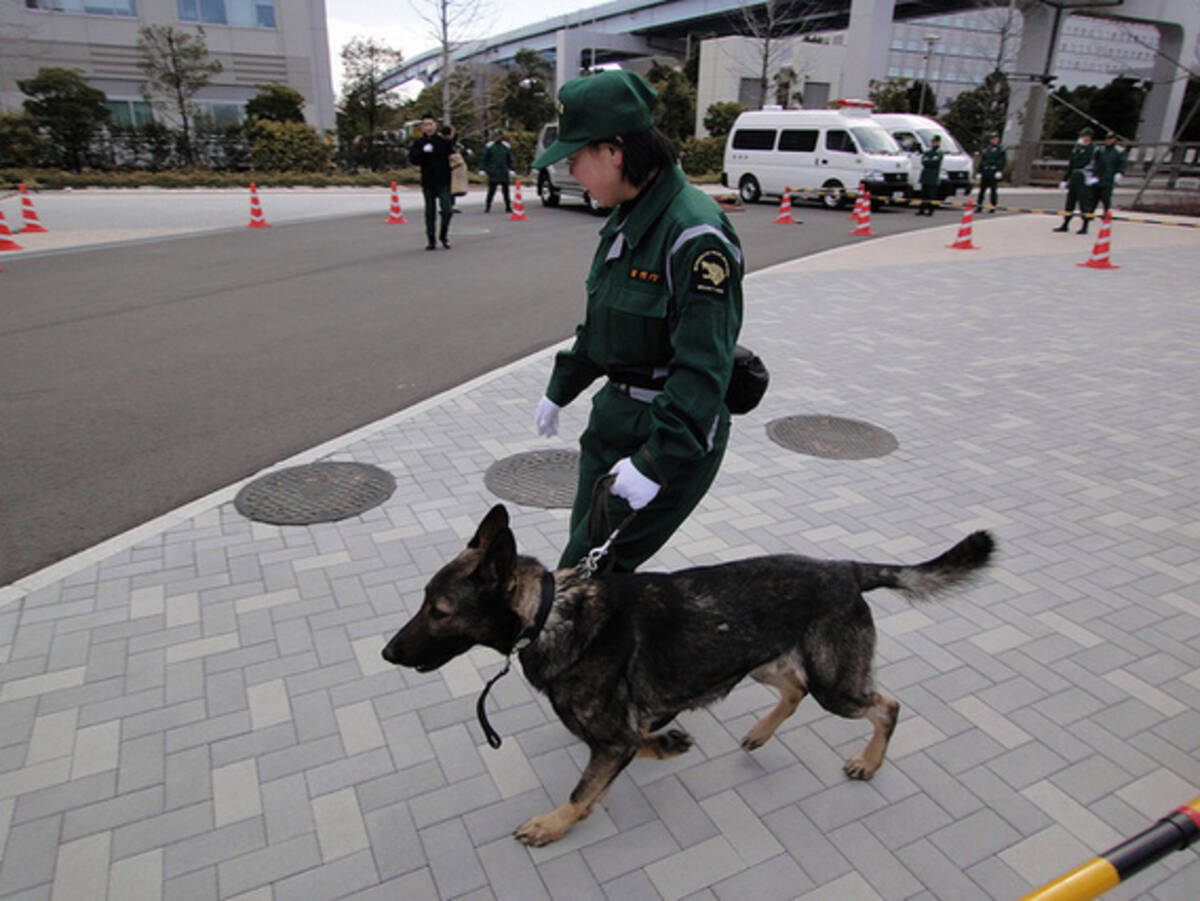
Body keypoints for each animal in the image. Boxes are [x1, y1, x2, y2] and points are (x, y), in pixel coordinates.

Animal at [384, 508, 993, 844]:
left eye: (439, 611)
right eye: (424, 601)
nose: (387, 653)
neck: (552, 612)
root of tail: (844, 569)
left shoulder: (611, 739)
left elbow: (584, 791)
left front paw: (553, 825)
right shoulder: (620, 734)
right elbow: (641, 742)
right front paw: (669, 743)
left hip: (835, 685)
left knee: (885, 707)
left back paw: (868, 762)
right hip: (761, 662)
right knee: (793, 690)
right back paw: (760, 733)